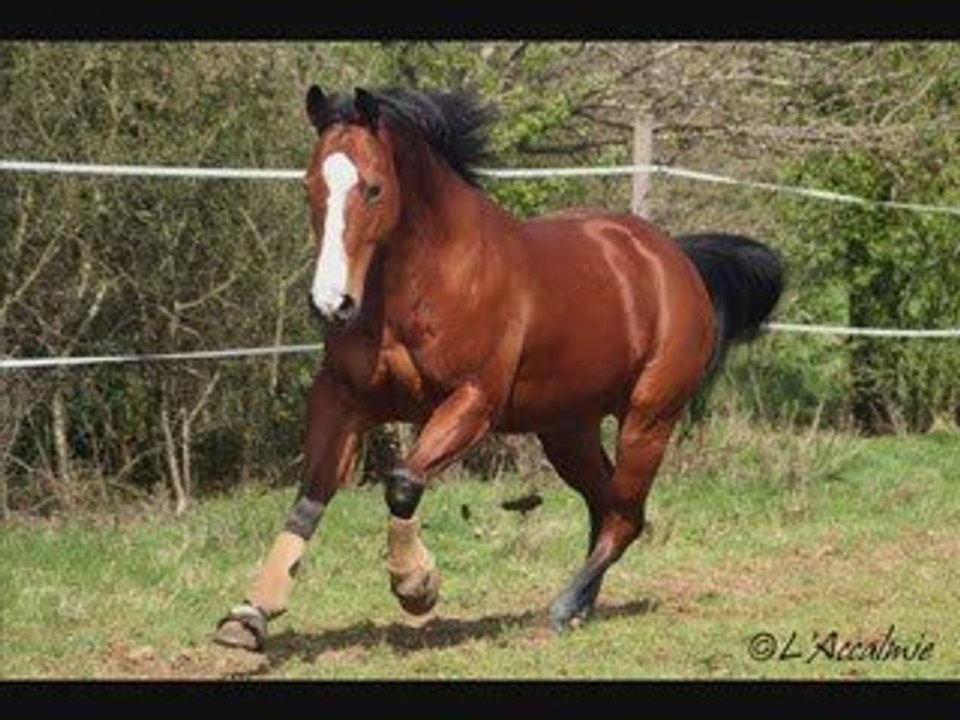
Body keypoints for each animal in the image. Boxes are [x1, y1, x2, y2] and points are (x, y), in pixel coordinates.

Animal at [214, 86, 784, 651]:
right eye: (309, 186)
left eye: (373, 189)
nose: (332, 304)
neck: (424, 283)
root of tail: (675, 260)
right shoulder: (342, 399)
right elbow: (310, 496)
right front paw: (249, 615)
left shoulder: (474, 402)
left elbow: (403, 482)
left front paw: (416, 586)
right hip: (567, 428)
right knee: (607, 506)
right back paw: (581, 608)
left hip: (649, 419)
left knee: (625, 516)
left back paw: (562, 608)